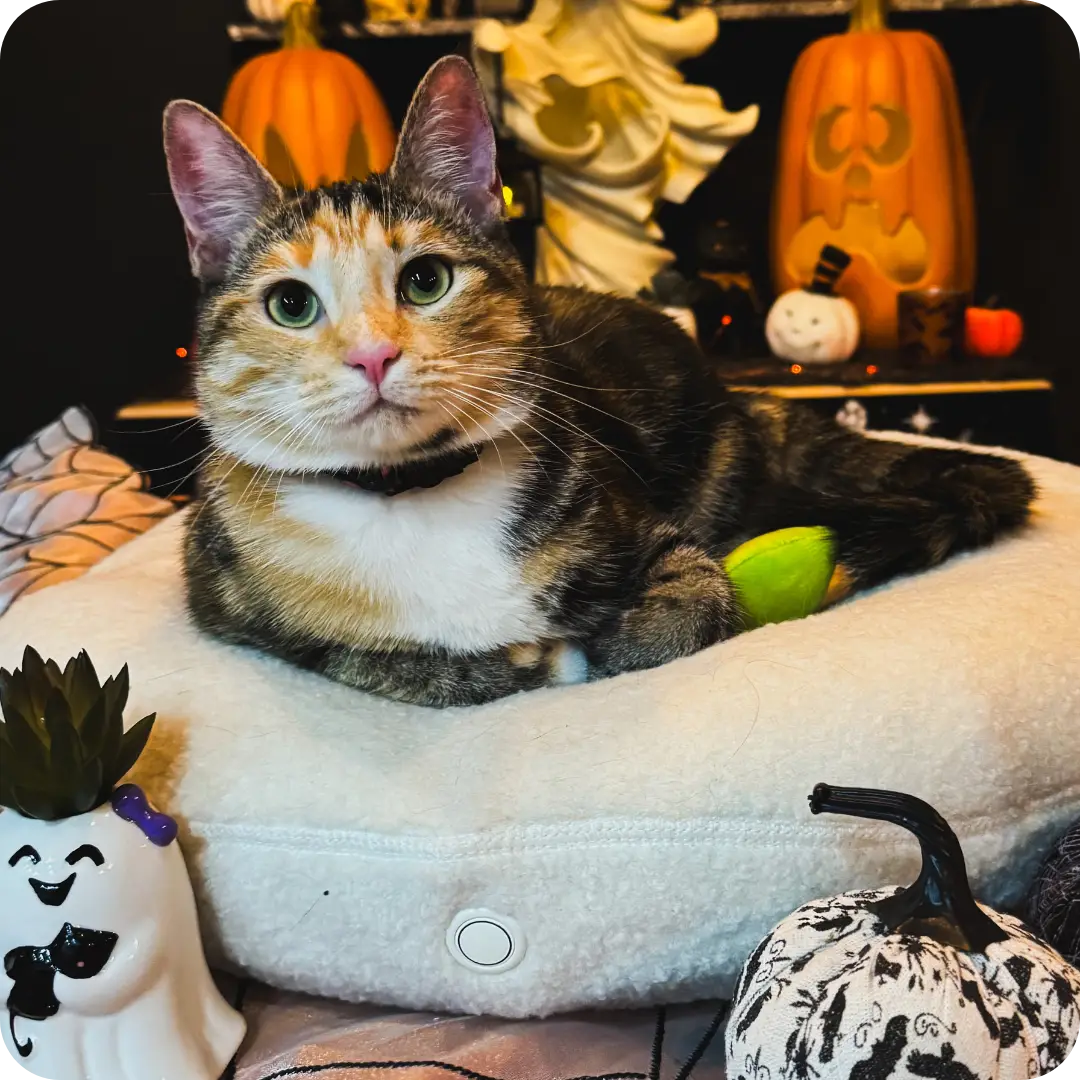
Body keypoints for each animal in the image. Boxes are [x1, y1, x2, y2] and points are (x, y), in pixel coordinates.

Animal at [162, 54, 1036, 708]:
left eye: (426, 280)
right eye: (290, 304)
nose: (373, 355)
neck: (413, 495)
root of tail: (737, 398)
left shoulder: (649, 527)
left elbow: (692, 601)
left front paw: (595, 643)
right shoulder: (228, 596)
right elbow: (376, 660)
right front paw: (515, 659)